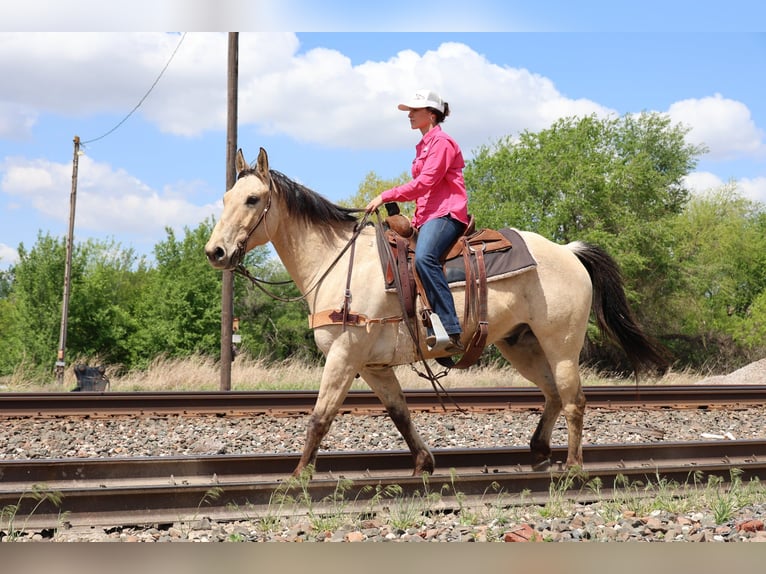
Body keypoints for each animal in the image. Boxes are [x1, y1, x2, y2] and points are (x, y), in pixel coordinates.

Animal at [205, 147, 669, 478]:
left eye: (253, 199)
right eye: (225, 197)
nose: (216, 252)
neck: (336, 261)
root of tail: (569, 251)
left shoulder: (344, 355)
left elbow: (320, 416)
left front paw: (297, 477)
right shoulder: (372, 365)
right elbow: (399, 413)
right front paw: (423, 462)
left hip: (561, 344)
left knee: (574, 399)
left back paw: (572, 468)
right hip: (521, 343)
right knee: (553, 394)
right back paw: (538, 452)